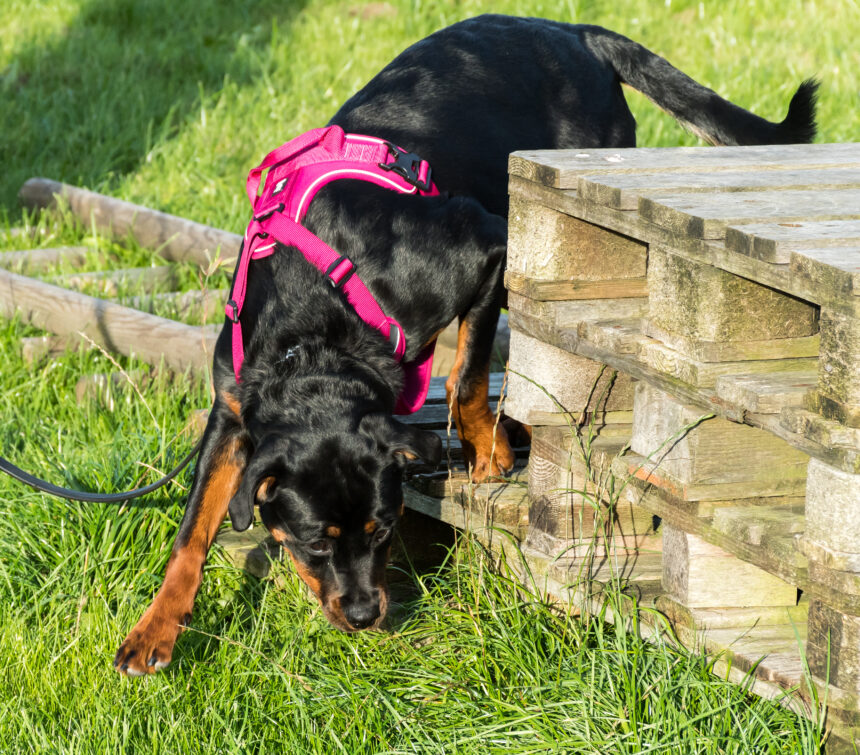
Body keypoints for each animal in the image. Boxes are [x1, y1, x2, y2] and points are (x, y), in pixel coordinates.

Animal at [112, 13, 812, 672]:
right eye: (315, 542)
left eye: (384, 530)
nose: (364, 615)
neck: (317, 336)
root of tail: (572, 30)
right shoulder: (232, 409)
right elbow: (191, 532)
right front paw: (153, 632)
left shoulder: (488, 250)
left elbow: (467, 375)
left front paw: (486, 452)